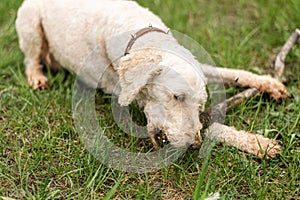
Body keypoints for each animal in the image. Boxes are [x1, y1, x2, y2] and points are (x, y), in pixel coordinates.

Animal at [16, 0, 288, 156]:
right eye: (177, 97)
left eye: (199, 104)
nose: (194, 146)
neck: (140, 35)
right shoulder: (121, 91)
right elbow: (211, 124)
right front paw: (257, 143)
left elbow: (228, 74)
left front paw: (269, 85)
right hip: (29, 24)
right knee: (30, 59)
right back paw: (37, 77)